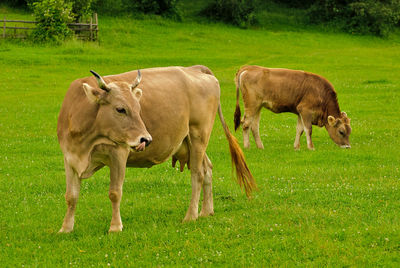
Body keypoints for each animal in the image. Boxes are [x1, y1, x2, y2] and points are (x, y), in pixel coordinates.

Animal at [57, 65, 256, 232]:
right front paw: (66, 228)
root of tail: (195, 69)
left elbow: (115, 192)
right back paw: (206, 211)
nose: (145, 139)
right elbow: (71, 196)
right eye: (120, 109)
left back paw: (191, 215)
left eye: (138, 108)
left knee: (198, 175)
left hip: (199, 135)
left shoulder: (118, 154)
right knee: (207, 168)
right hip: (191, 142)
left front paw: (115, 227)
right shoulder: (69, 158)